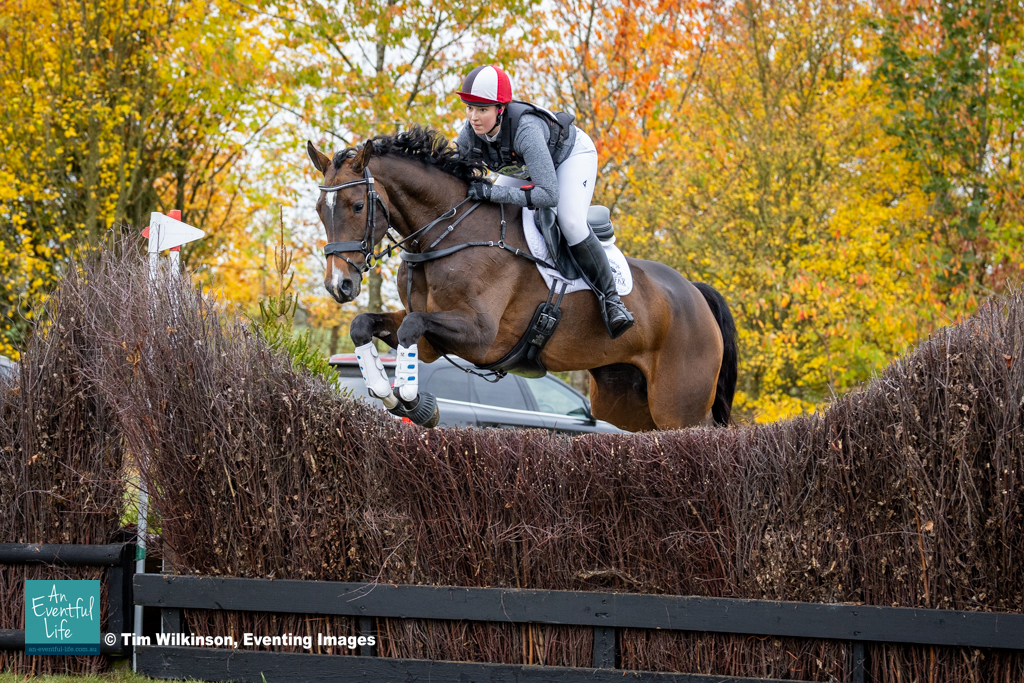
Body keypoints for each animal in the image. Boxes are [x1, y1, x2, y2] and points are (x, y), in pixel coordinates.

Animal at [307, 127, 737, 432]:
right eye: (319, 209)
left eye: (357, 206)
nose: (338, 285)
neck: (445, 233)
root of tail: (695, 294)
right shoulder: (429, 339)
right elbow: (364, 324)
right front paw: (386, 391)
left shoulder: (481, 336)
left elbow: (413, 325)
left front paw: (417, 404)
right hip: (627, 403)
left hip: (679, 408)